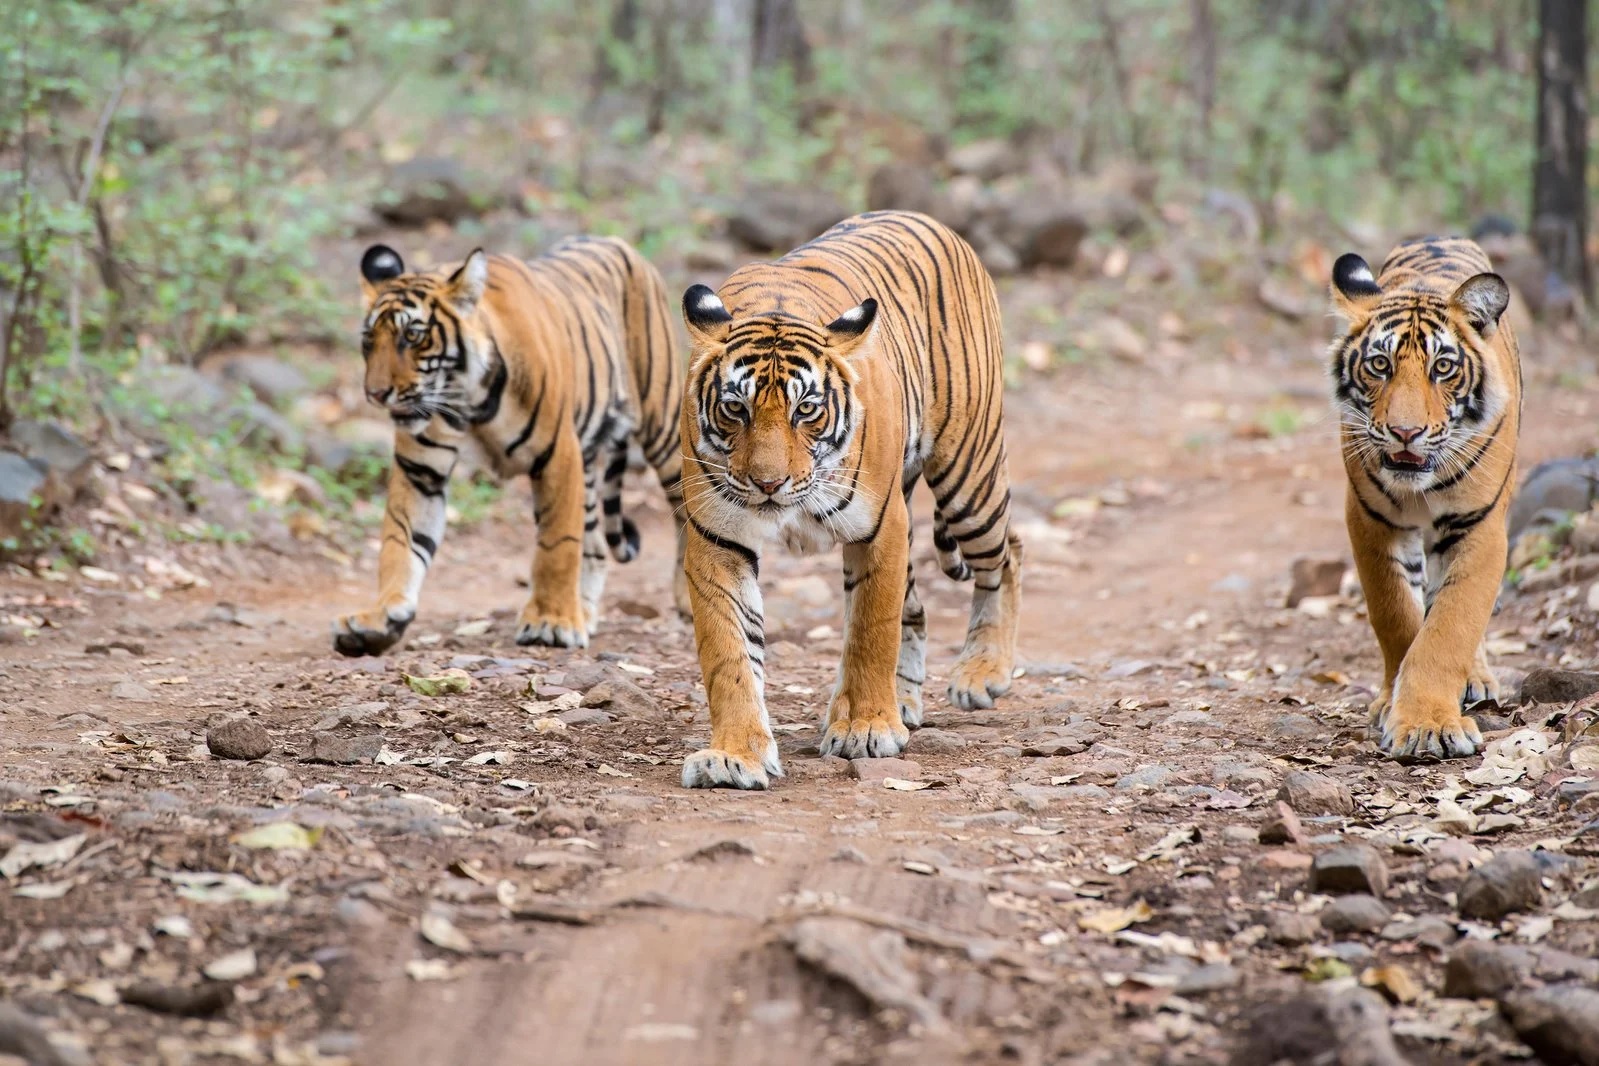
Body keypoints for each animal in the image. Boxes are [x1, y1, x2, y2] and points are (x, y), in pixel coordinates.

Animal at [332, 237, 689, 656]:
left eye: (413, 337)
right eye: (369, 341)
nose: (375, 394)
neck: (467, 401)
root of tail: (618, 243)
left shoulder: (557, 454)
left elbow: (557, 545)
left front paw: (551, 622)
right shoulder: (420, 470)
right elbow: (400, 541)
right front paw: (380, 618)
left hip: (663, 426)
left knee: (686, 511)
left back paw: (684, 601)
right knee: (596, 543)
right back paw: (584, 613)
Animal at [677, 210, 1023, 790]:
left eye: (806, 409)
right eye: (735, 409)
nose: (767, 484)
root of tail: (927, 219)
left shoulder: (880, 527)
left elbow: (870, 631)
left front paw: (865, 728)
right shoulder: (716, 539)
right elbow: (729, 654)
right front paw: (734, 755)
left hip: (967, 477)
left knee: (1007, 553)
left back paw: (982, 673)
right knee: (918, 607)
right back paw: (903, 701)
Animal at [1329, 237, 1519, 760]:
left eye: (1443, 367)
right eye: (1380, 365)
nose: (1405, 432)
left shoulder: (1479, 527)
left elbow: (1450, 626)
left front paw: (1429, 725)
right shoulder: (1369, 520)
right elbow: (1395, 614)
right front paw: (1395, 708)